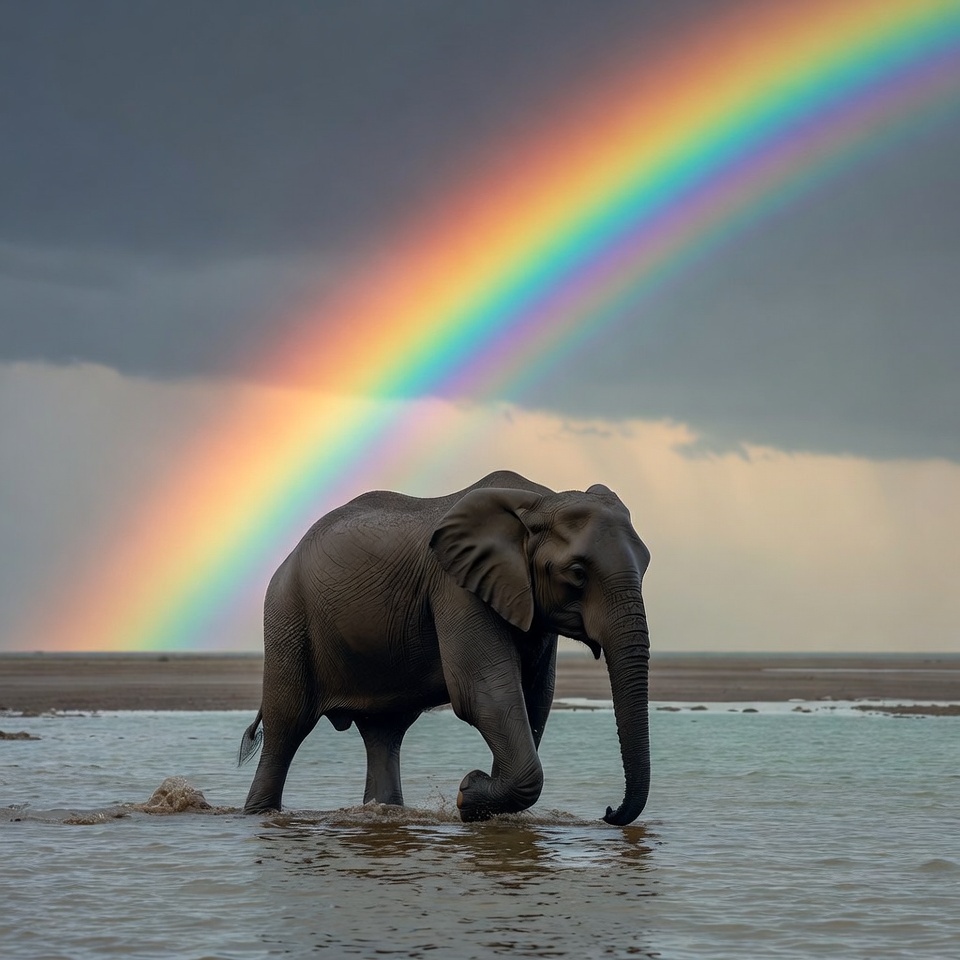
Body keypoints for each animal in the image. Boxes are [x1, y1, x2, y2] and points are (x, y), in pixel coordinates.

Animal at [239, 470, 652, 825]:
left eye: (646, 565)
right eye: (577, 573)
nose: (608, 811)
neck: (540, 502)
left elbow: (534, 698)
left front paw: (481, 802)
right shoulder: (457, 588)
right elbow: (483, 693)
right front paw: (468, 794)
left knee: (384, 733)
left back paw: (386, 812)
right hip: (287, 617)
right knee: (287, 724)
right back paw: (260, 816)